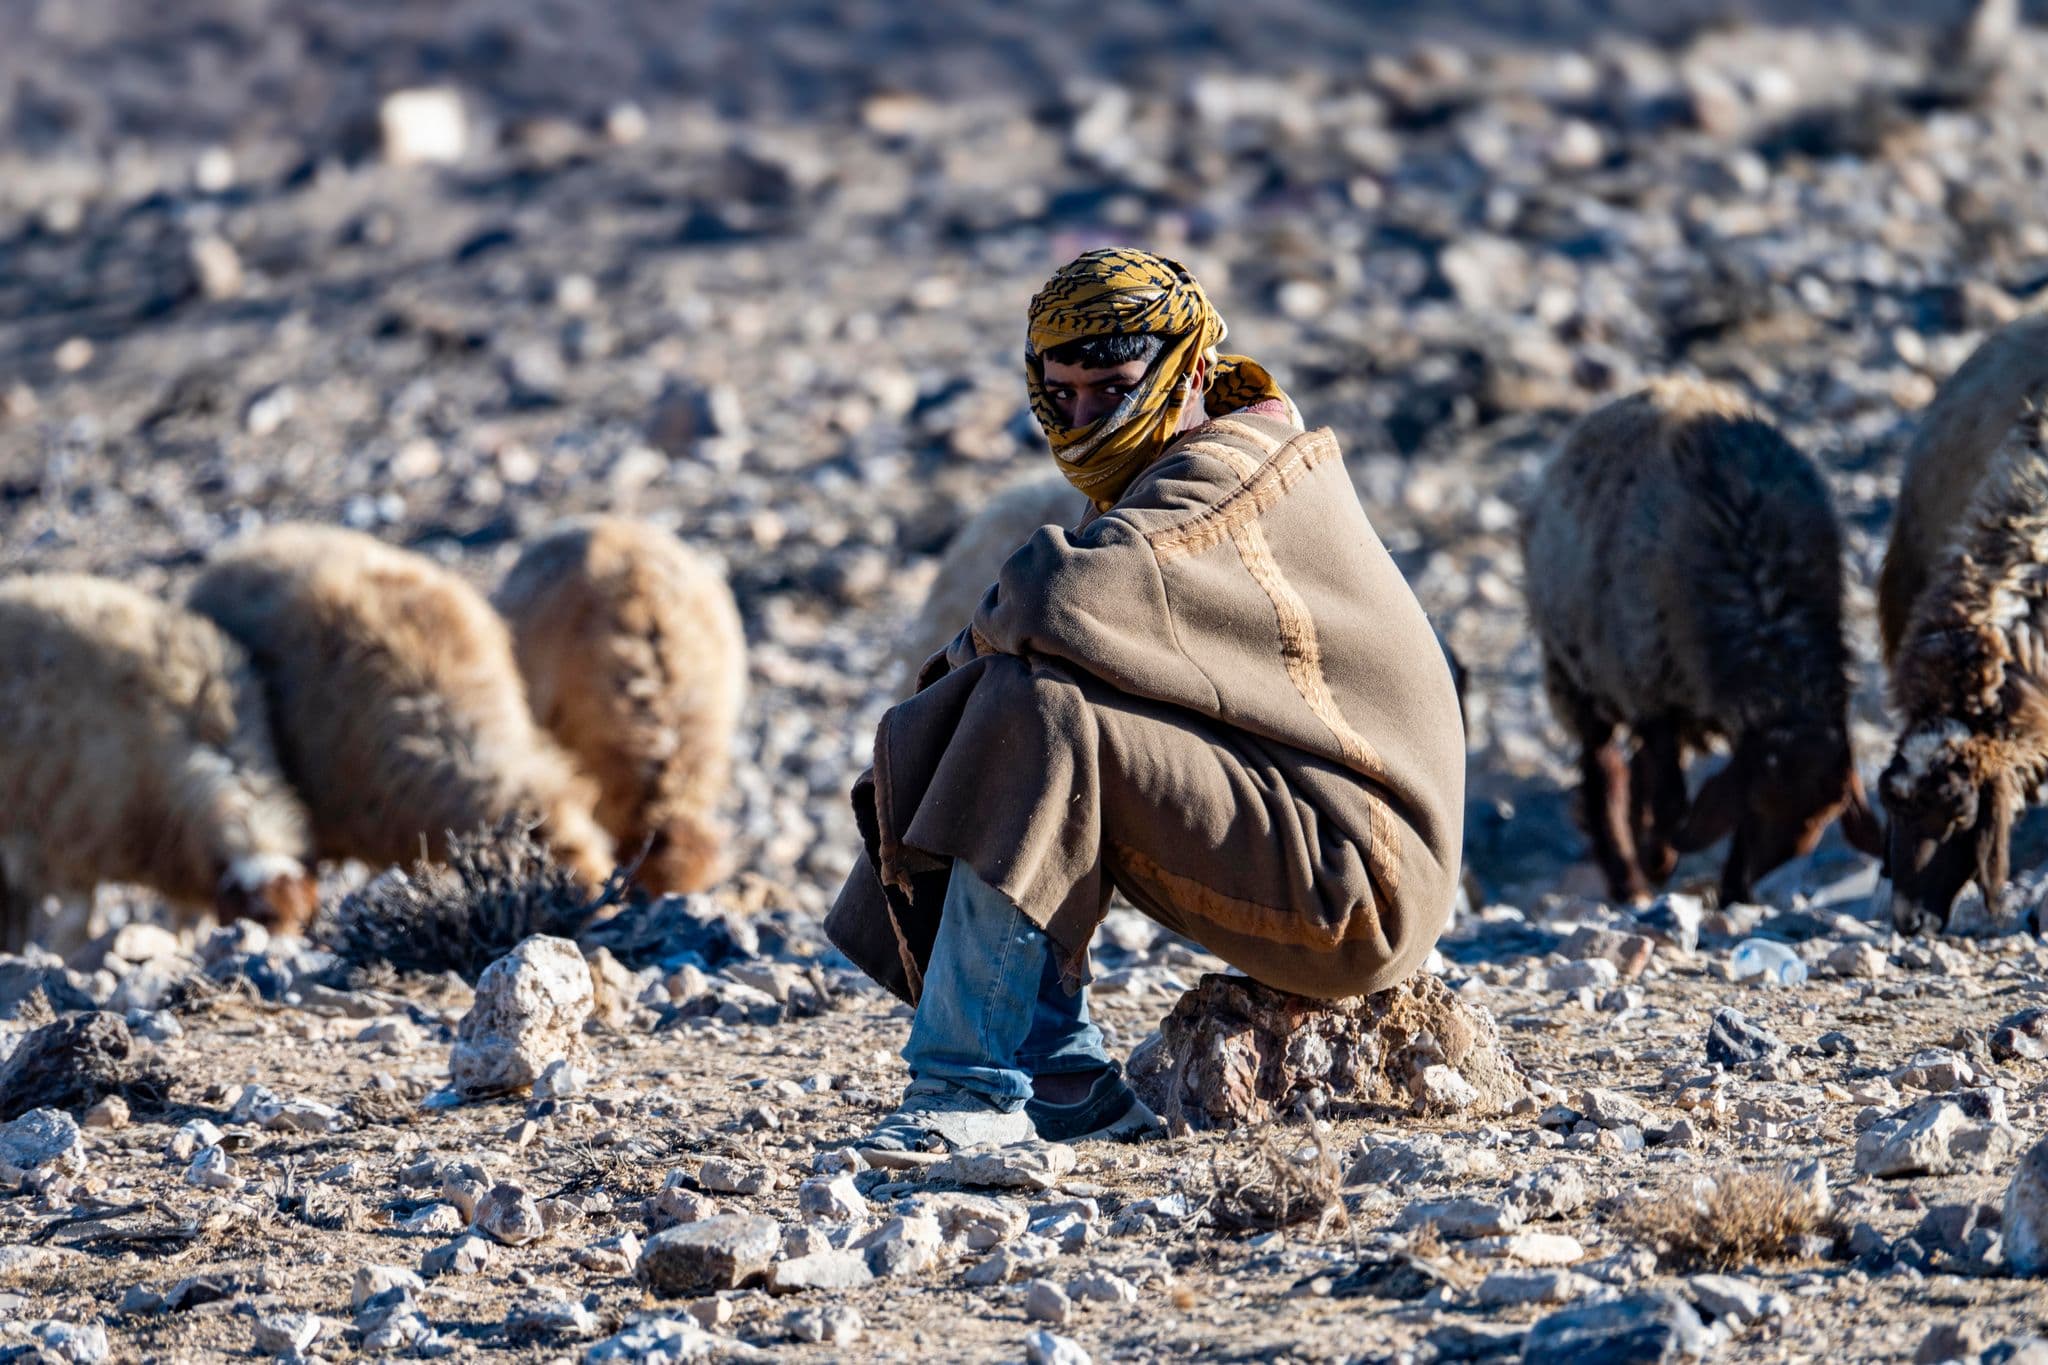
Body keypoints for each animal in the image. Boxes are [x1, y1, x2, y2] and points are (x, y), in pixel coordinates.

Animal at [0, 574, 317, 954]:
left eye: (303, 921)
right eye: (263, 918)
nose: (283, 953)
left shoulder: (179, 862)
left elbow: (186, 922)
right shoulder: (68, 845)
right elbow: (73, 926)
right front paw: (66, 958)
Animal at [1521, 378, 1881, 905]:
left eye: (1824, 819)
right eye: (1756, 808)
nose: (1756, 884)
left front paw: (1724, 885)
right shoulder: (1649, 688)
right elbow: (1670, 798)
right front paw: (1660, 857)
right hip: (1575, 675)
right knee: (1604, 772)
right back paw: (1630, 878)